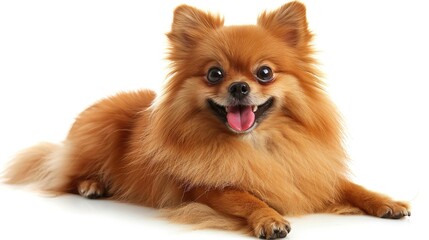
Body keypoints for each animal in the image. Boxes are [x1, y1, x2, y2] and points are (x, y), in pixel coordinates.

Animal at [5, 1, 410, 238]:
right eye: (215, 74)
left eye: (265, 73)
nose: (239, 87)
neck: (255, 145)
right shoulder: (205, 189)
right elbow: (245, 196)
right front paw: (268, 218)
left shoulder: (307, 172)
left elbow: (350, 187)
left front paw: (385, 201)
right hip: (97, 136)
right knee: (67, 174)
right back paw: (92, 184)